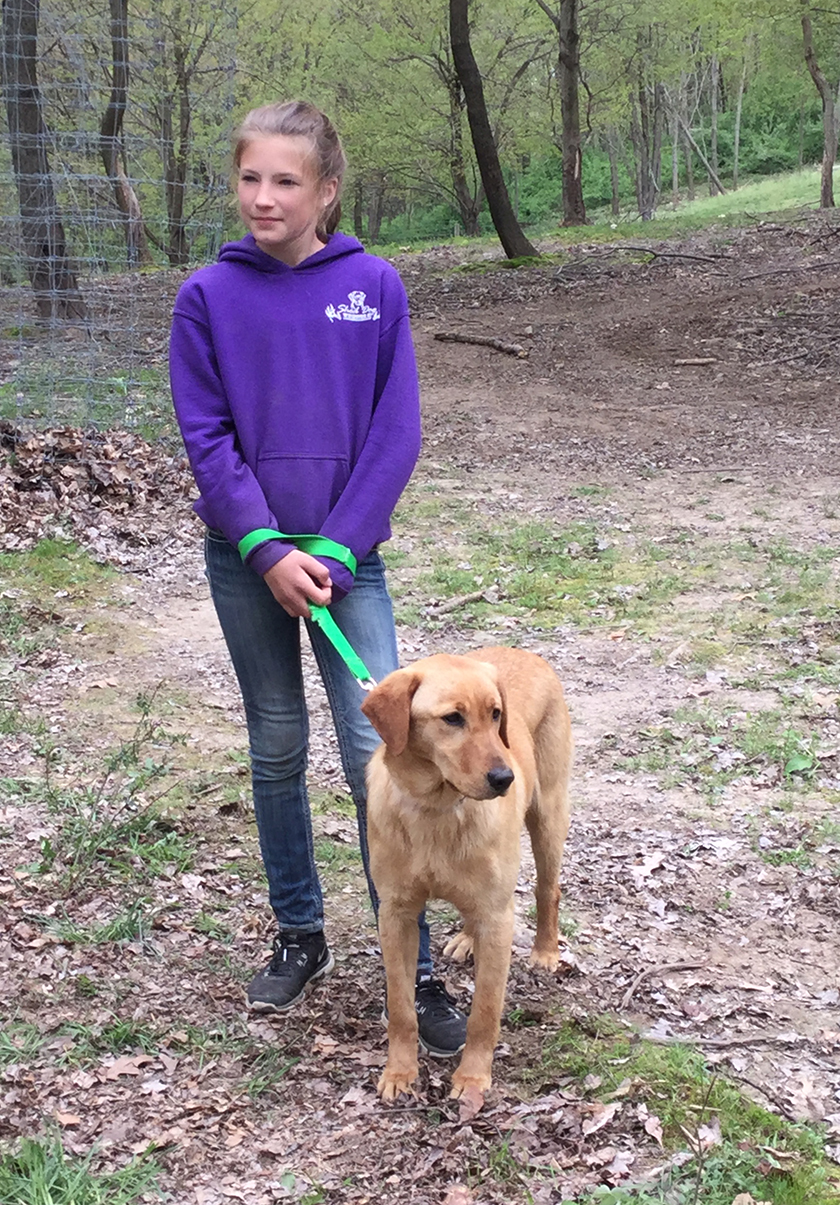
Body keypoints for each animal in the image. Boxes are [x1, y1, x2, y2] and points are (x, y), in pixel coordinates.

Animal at [361, 650, 571, 1103]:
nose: (505, 779)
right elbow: (402, 1008)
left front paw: (473, 1078)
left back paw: (546, 951)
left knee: (549, 889)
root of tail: (527, 652)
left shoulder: (497, 916)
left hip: (548, 817)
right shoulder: (396, 914)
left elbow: (485, 1012)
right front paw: (399, 1071)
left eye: (495, 715)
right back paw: (465, 939)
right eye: (452, 718)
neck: (436, 809)